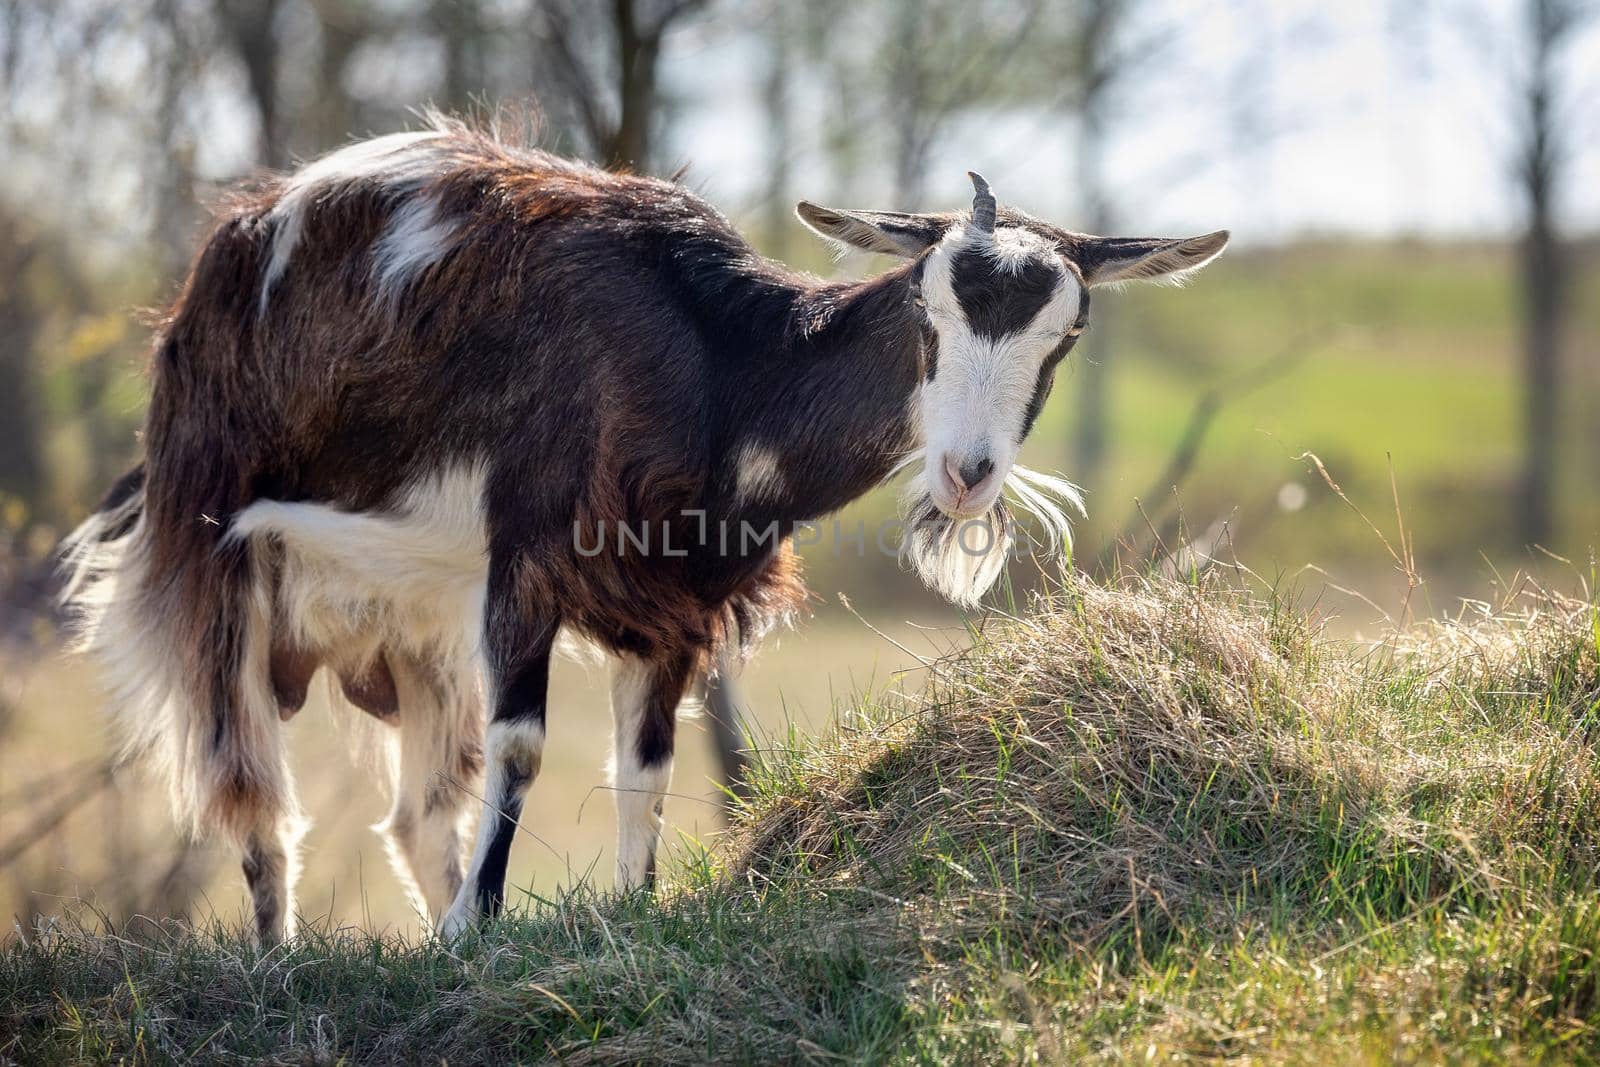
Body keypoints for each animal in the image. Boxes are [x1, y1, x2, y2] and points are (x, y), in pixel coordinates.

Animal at [53, 120, 1222, 947]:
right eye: (925, 313)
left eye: (1063, 333)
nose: (968, 475)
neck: (711, 361)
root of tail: (226, 257)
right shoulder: (526, 554)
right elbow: (523, 745)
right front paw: (479, 933)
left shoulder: (672, 604)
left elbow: (646, 767)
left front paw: (626, 914)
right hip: (217, 558)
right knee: (255, 794)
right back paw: (287, 954)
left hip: (413, 619)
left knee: (416, 809)